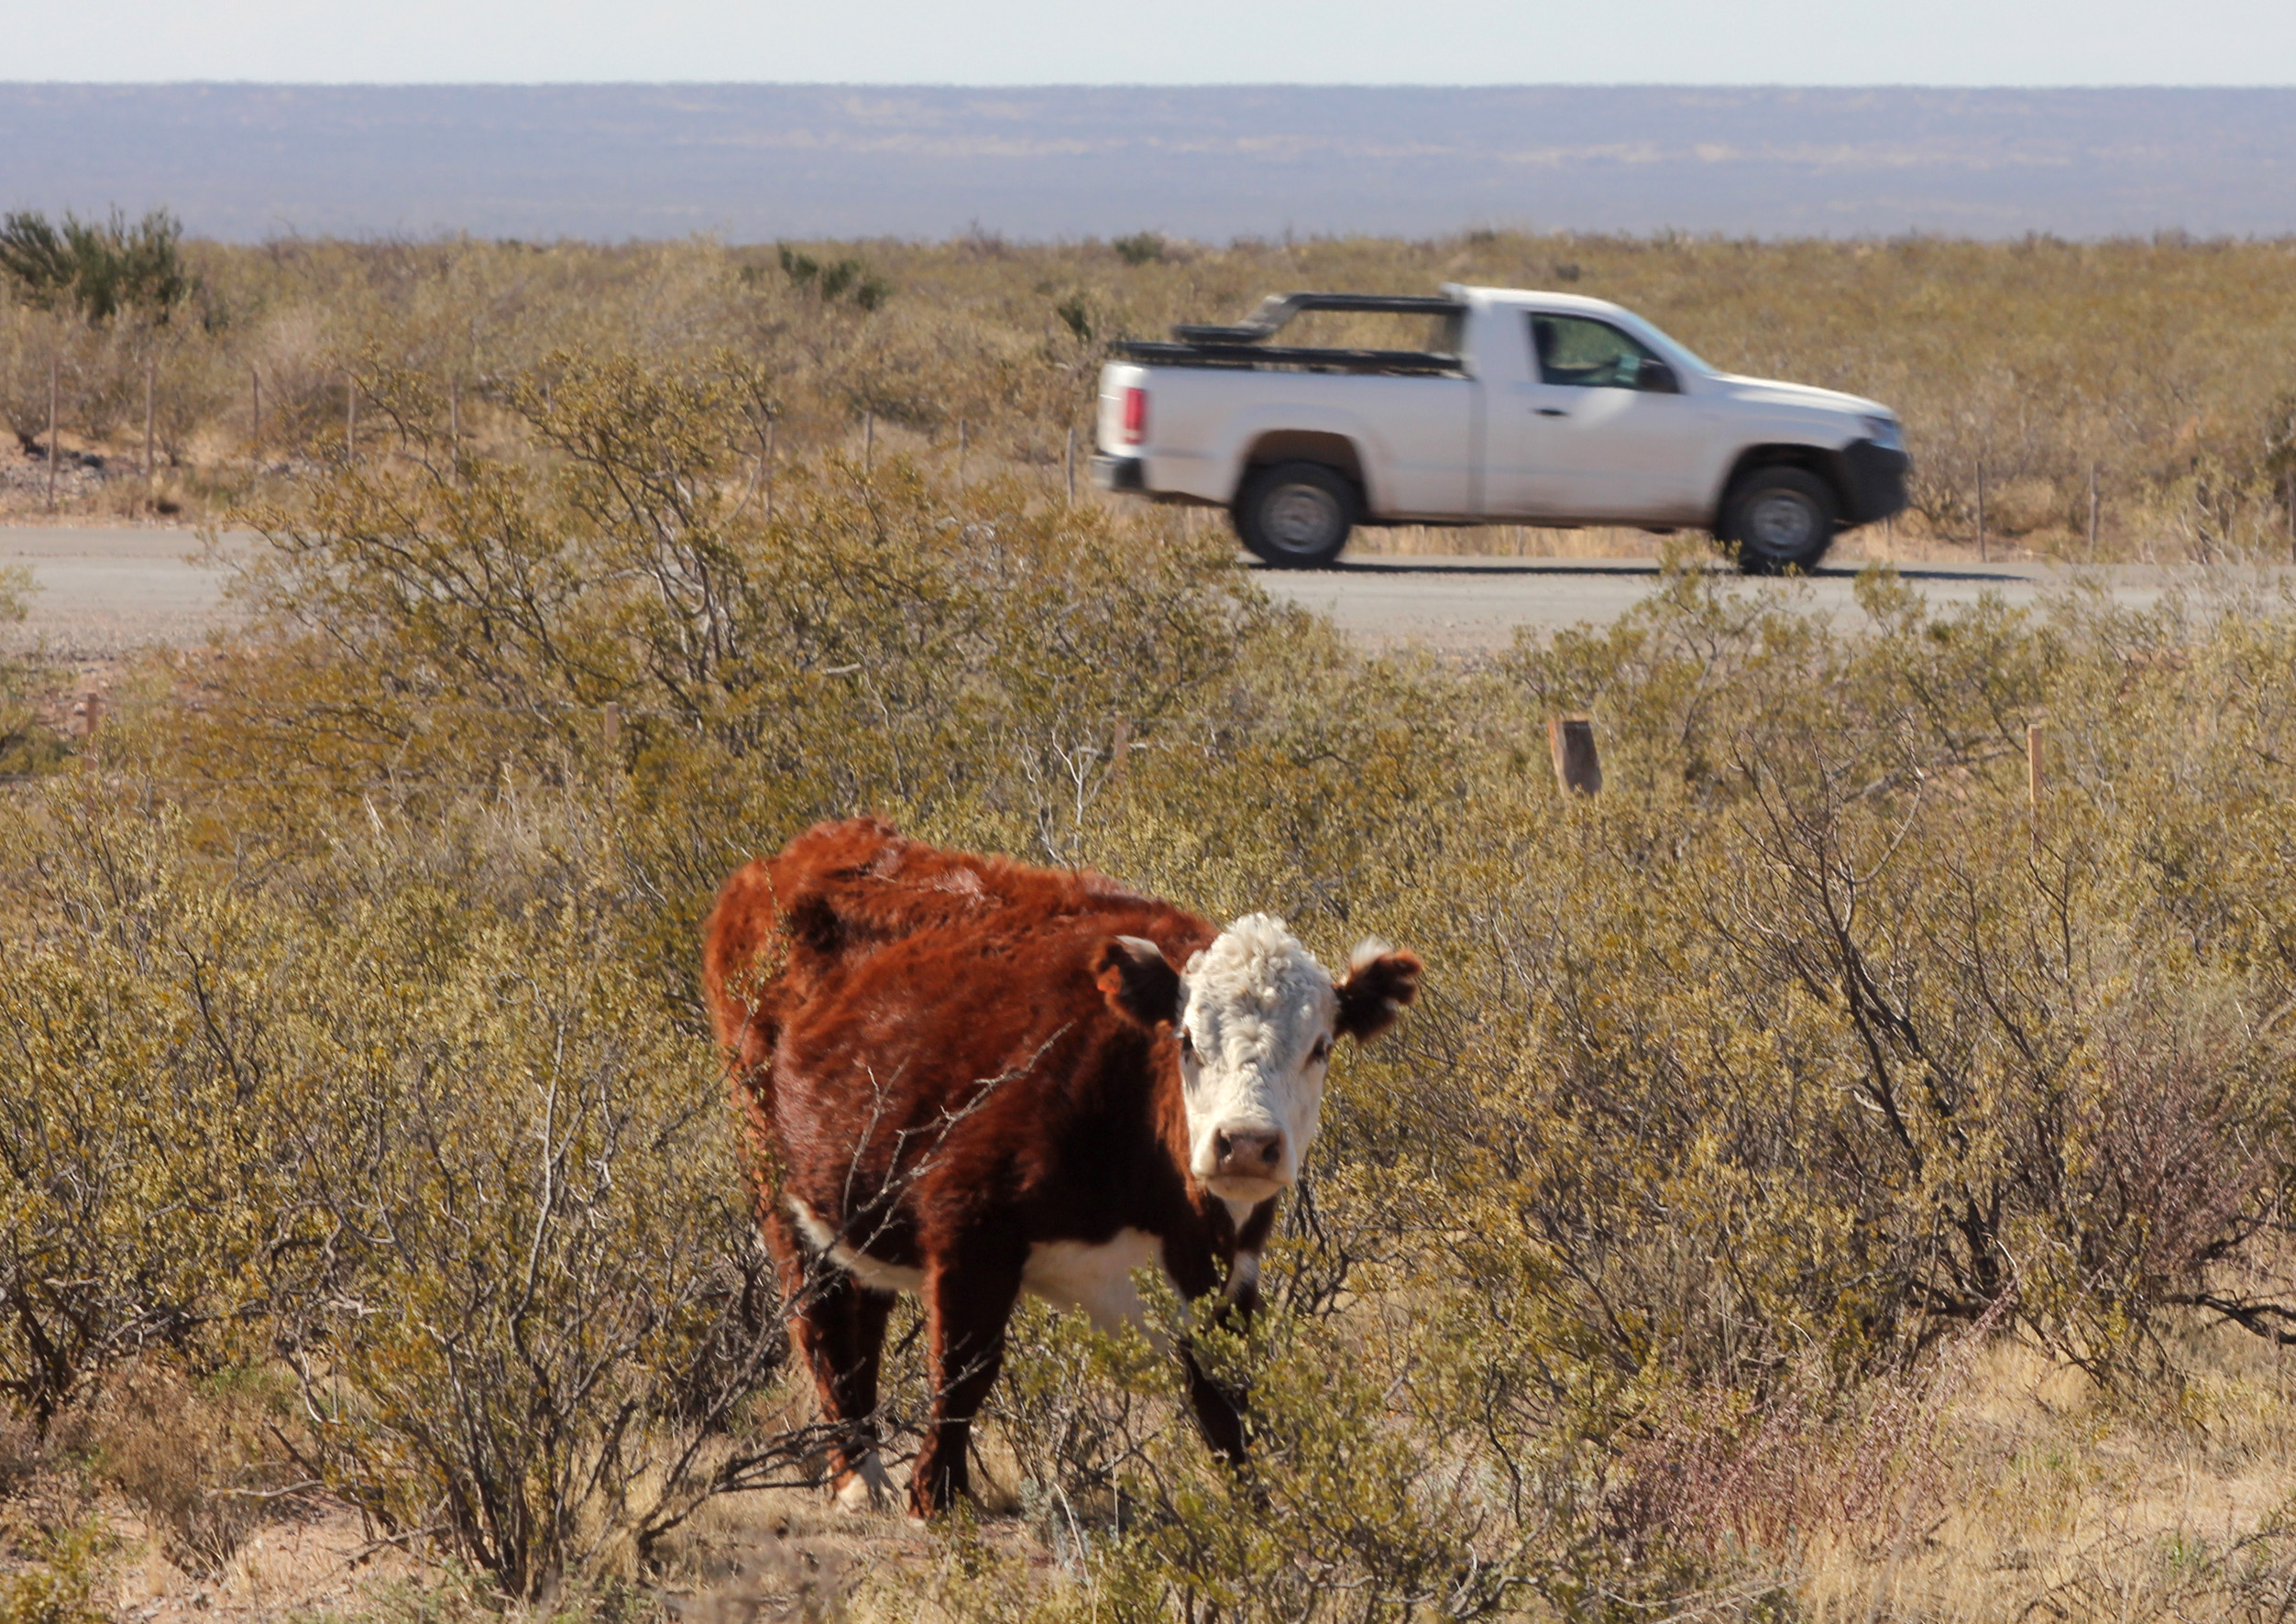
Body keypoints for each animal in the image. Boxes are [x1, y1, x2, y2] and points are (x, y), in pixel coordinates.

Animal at [698, 827, 1414, 1525]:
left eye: (1320, 1047)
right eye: (1186, 1040)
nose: (1245, 1143)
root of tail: (791, 855)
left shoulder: (1231, 1273)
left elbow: (1225, 1398)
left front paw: (1255, 1514)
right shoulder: (969, 1223)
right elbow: (964, 1368)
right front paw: (937, 1497)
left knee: (861, 1314)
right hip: (770, 1172)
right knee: (817, 1315)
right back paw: (857, 1476)